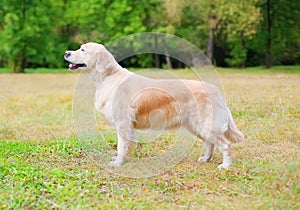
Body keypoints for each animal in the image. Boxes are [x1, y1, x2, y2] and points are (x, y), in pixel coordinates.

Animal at [63, 42, 244, 169]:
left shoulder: (123, 123)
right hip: (196, 125)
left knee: (225, 144)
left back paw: (225, 165)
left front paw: (117, 163)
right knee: (210, 143)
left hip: (205, 125)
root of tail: (216, 91)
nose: (66, 53)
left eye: (83, 50)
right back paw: (205, 159)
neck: (108, 77)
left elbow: (121, 146)